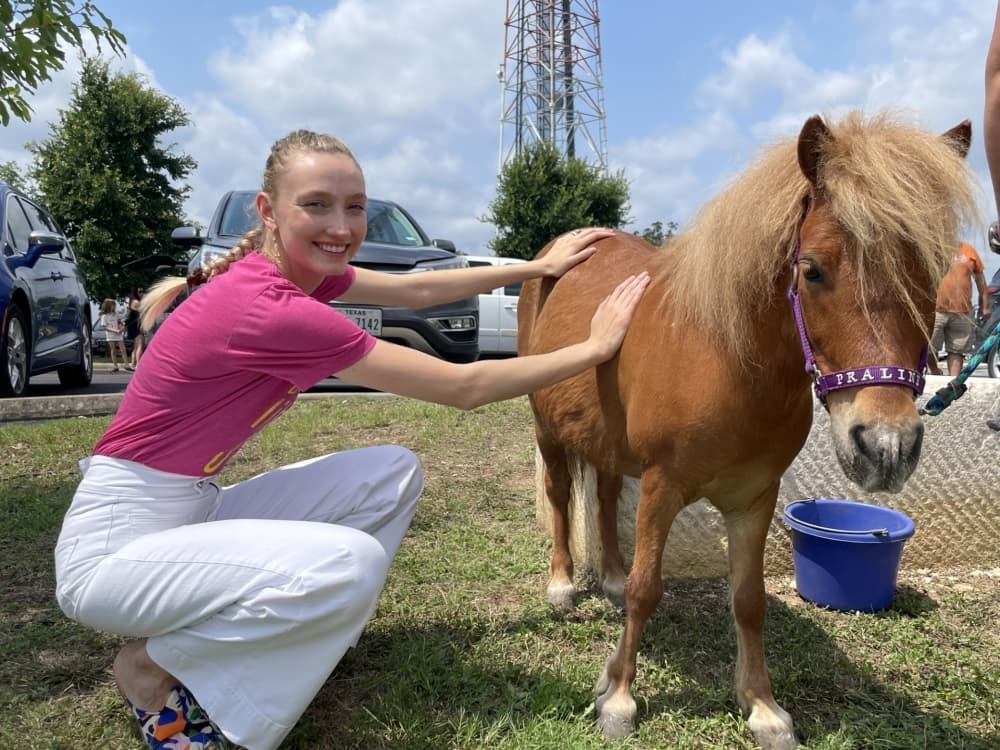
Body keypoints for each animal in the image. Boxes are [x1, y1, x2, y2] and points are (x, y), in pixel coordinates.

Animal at [517, 110, 977, 750]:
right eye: (812, 270)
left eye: (931, 274)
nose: (886, 448)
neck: (726, 359)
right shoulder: (662, 487)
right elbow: (646, 588)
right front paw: (619, 698)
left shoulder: (755, 498)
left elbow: (749, 599)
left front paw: (761, 706)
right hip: (547, 427)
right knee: (562, 495)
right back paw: (563, 585)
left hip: (607, 440)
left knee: (605, 497)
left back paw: (606, 574)